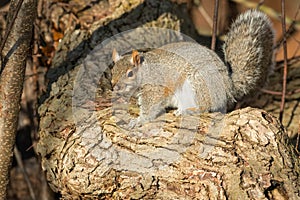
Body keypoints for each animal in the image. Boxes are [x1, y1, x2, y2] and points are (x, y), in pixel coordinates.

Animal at [109, 9, 274, 127]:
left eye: (130, 73)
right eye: (113, 71)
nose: (115, 87)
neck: (145, 70)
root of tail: (228, 87)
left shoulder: (154, 88)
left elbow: (150, 107)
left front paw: (139, 120)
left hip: (198, 85)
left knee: (205, 107)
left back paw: (187, 111)